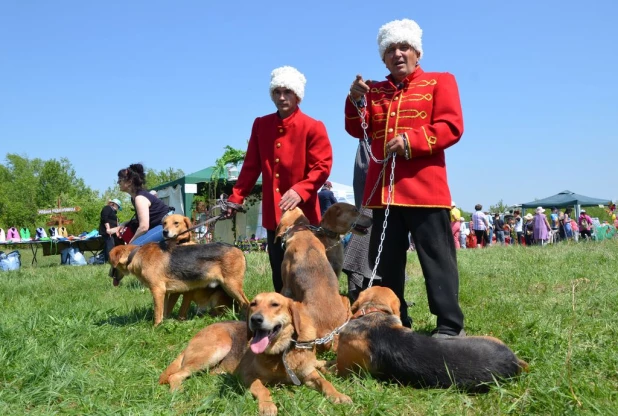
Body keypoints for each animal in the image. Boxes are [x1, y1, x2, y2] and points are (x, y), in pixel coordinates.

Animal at [108, 242, 248, 326]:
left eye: (110, 262)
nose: (109, 275)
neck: (136, 255)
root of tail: (238, 249)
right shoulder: (164, 293)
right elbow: (163, 311)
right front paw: (163, 324)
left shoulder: (157, 290)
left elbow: (157, 312)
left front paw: (155, 327)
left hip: (231, 286)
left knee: (245, 303)